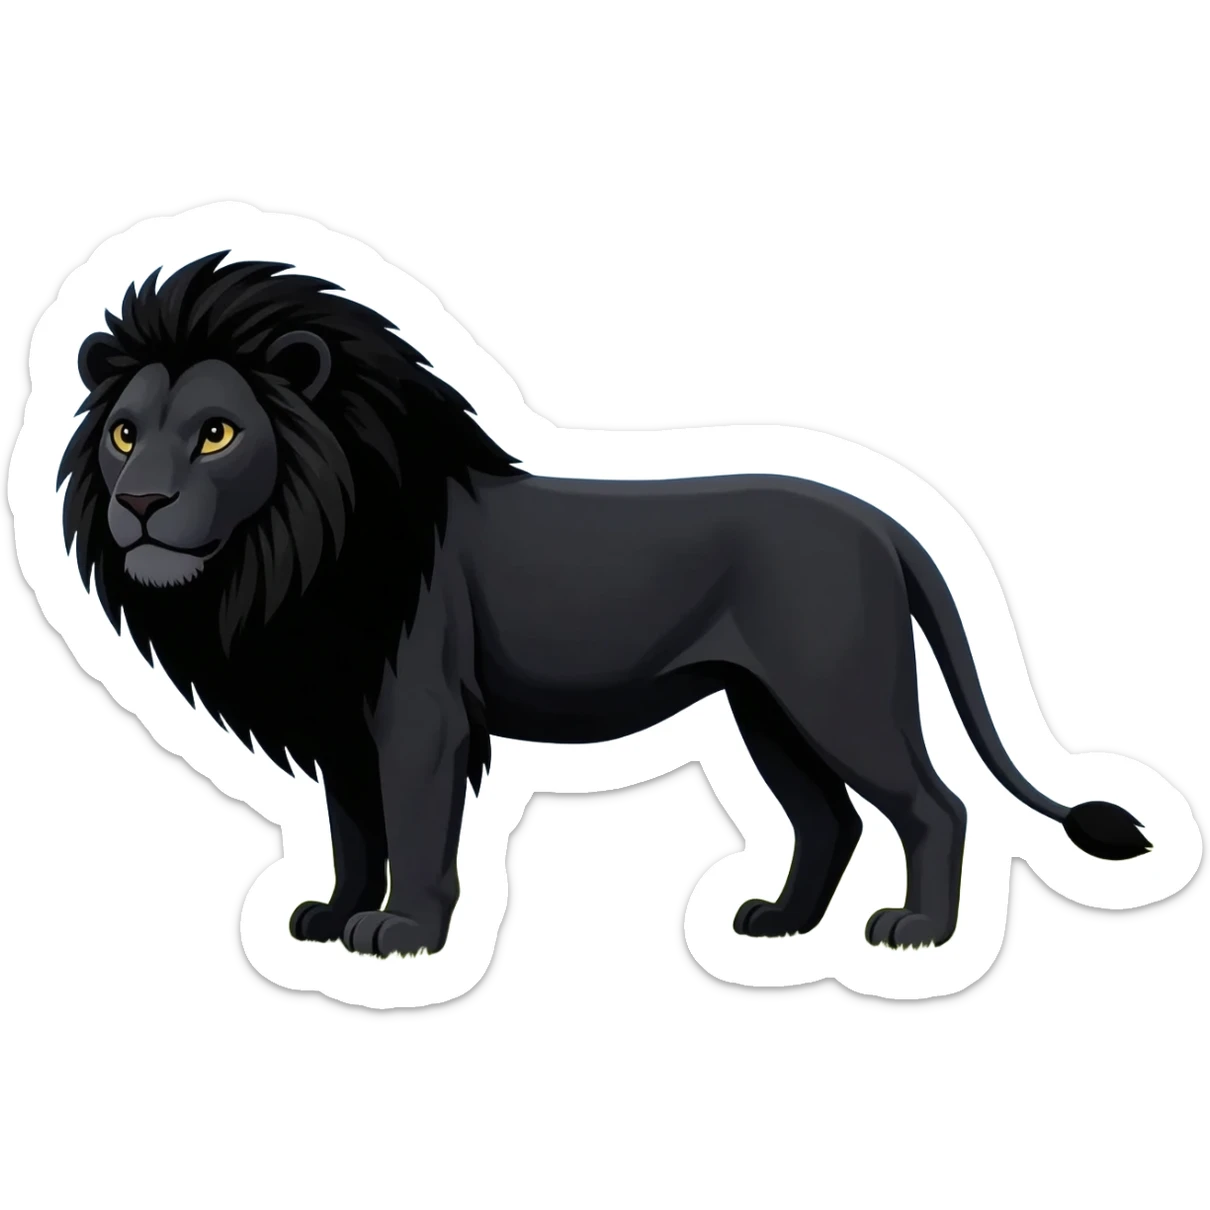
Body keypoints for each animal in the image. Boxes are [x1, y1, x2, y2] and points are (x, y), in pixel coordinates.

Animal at [56, 252, 1151, 958]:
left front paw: (401, 934)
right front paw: (327, 914)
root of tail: (880, 518)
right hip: (765, 710)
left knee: (934, 805)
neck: (294, 546)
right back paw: (778, 922)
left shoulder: (417, 714)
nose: (138, 504)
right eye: (123, 434)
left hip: (836, 694)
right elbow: (352, 829)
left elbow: (414, 826)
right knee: (828, 821)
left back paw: (919, 934)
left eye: (216, 432)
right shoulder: (342, 716)